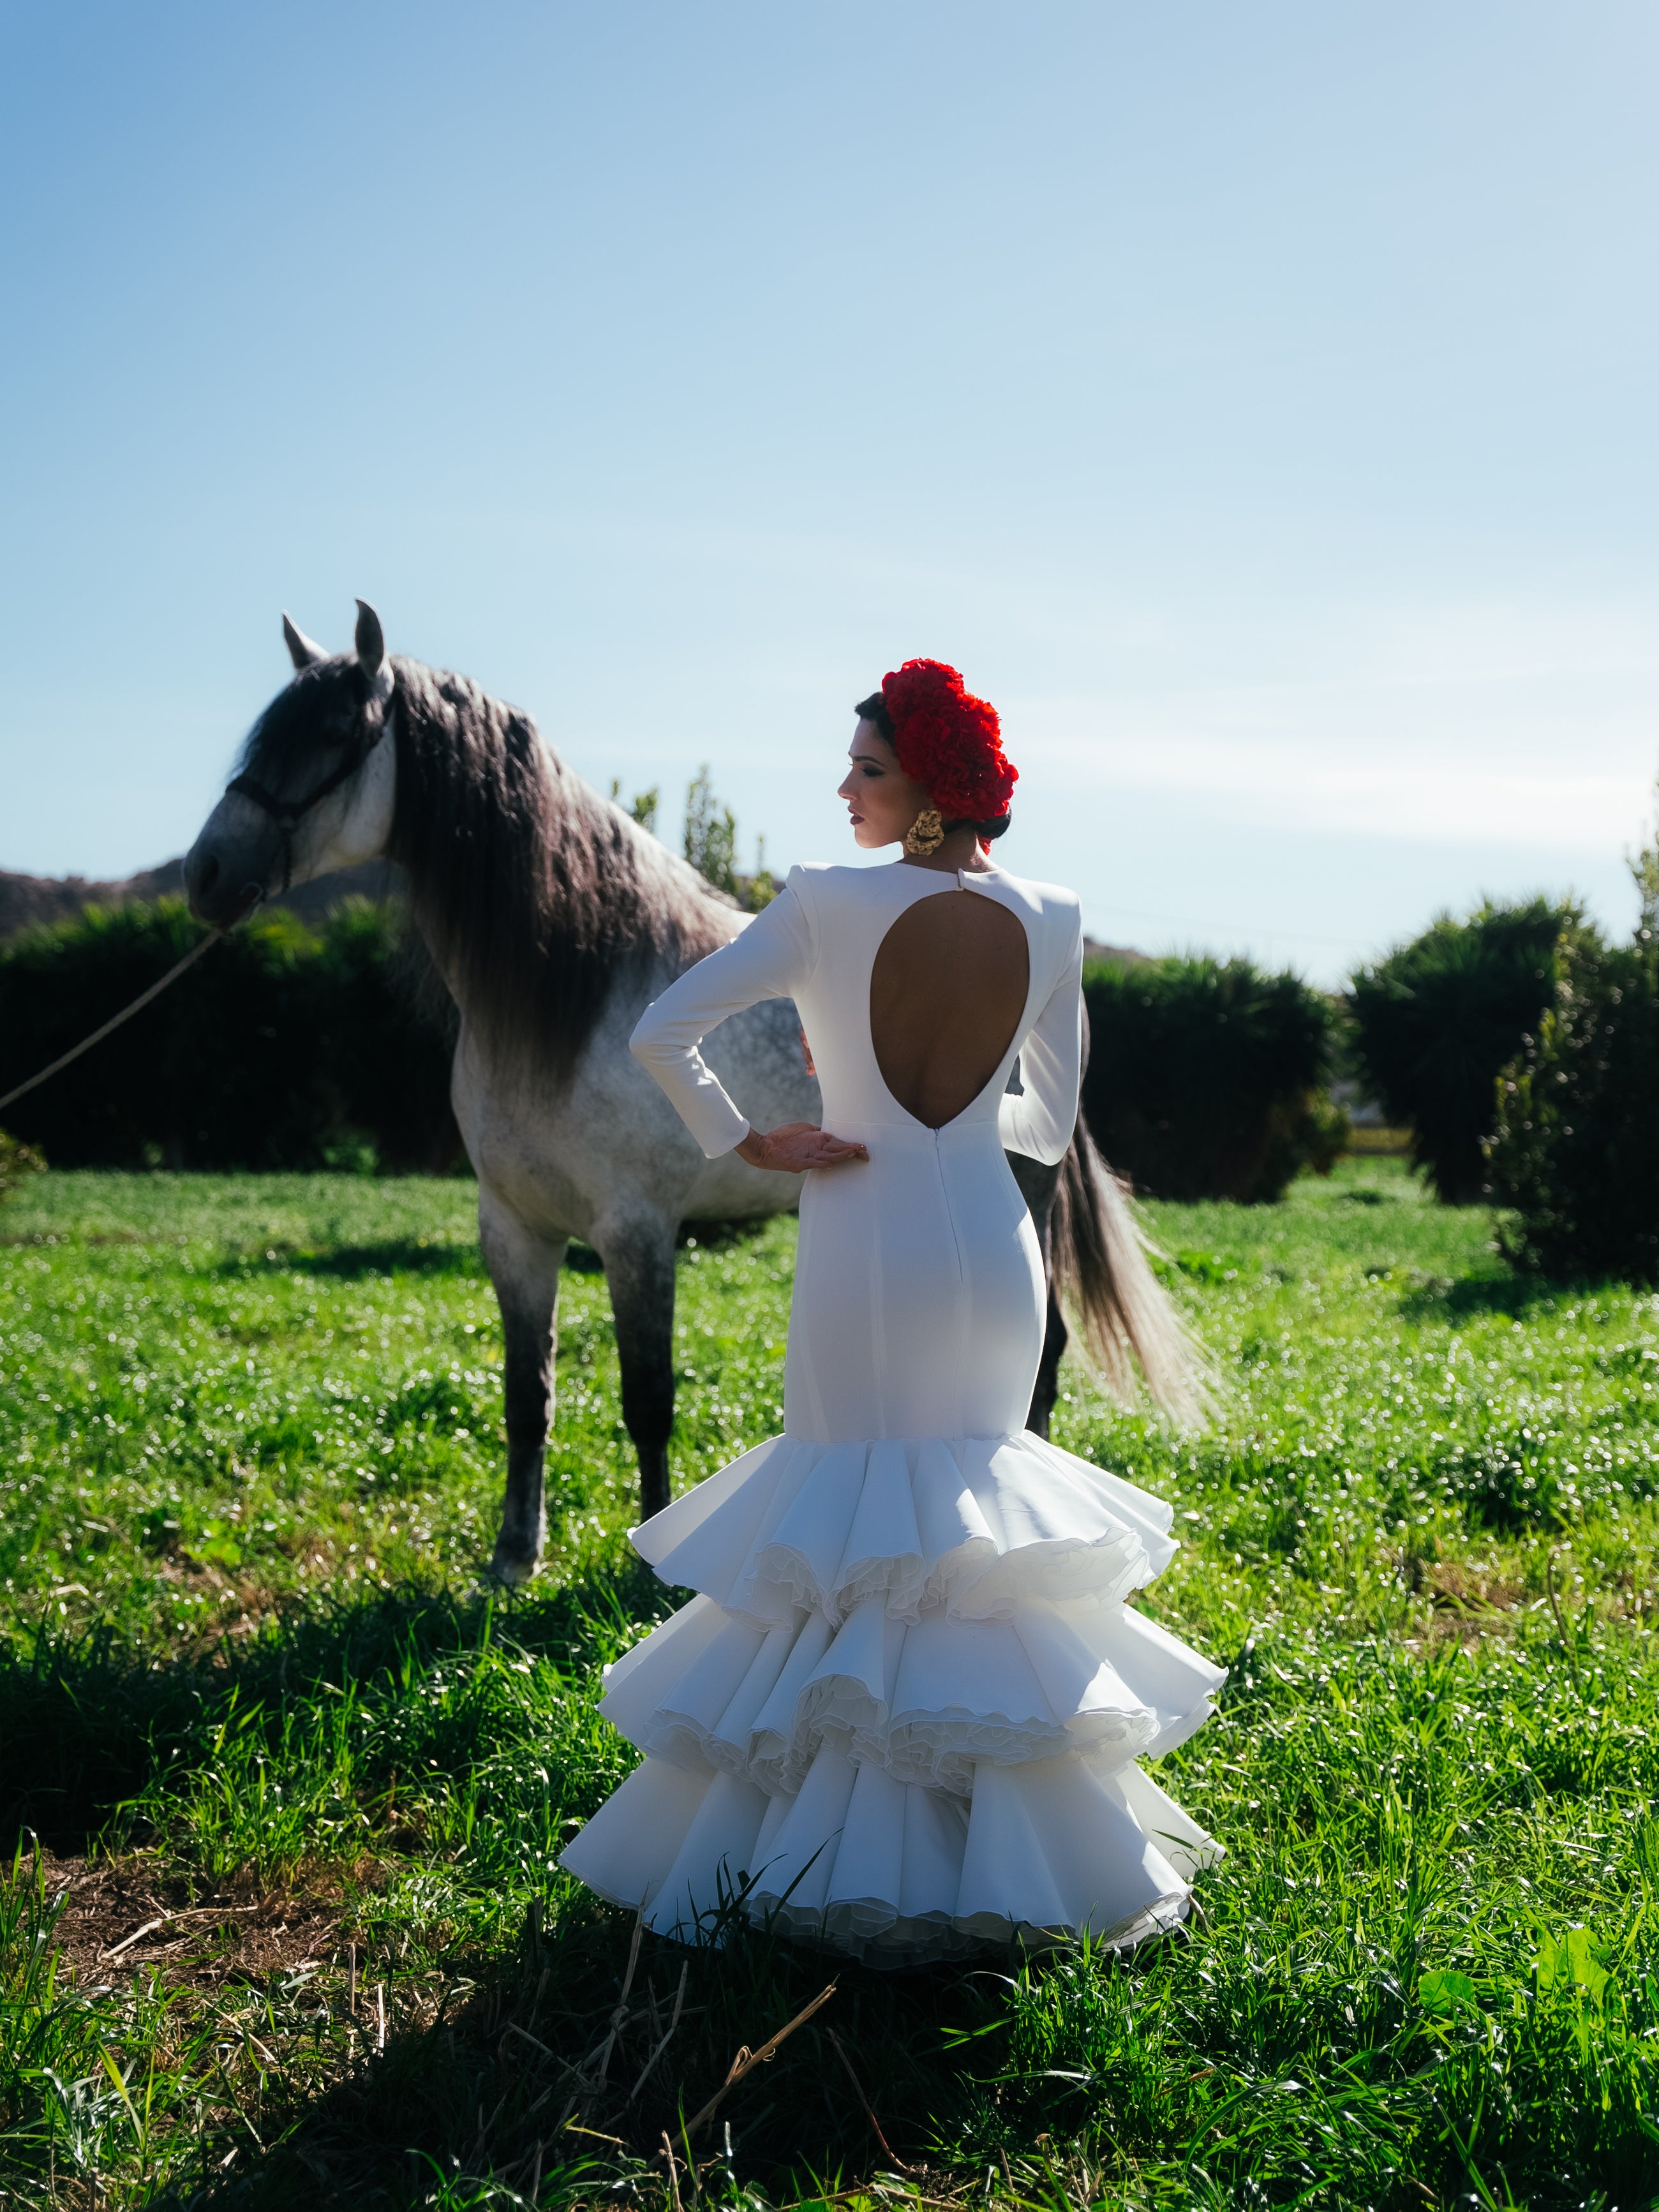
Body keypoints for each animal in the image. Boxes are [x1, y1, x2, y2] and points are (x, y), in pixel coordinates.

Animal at [181, 597, 1203, 1584]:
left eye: (333, 735)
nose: (205, 873)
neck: (577, 990)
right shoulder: (513, 1229)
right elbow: (525, 1395)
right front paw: (513, 1553)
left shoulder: (636, 1232)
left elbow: (647, 1397)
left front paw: (649, 1557)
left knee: (1042, 1355)